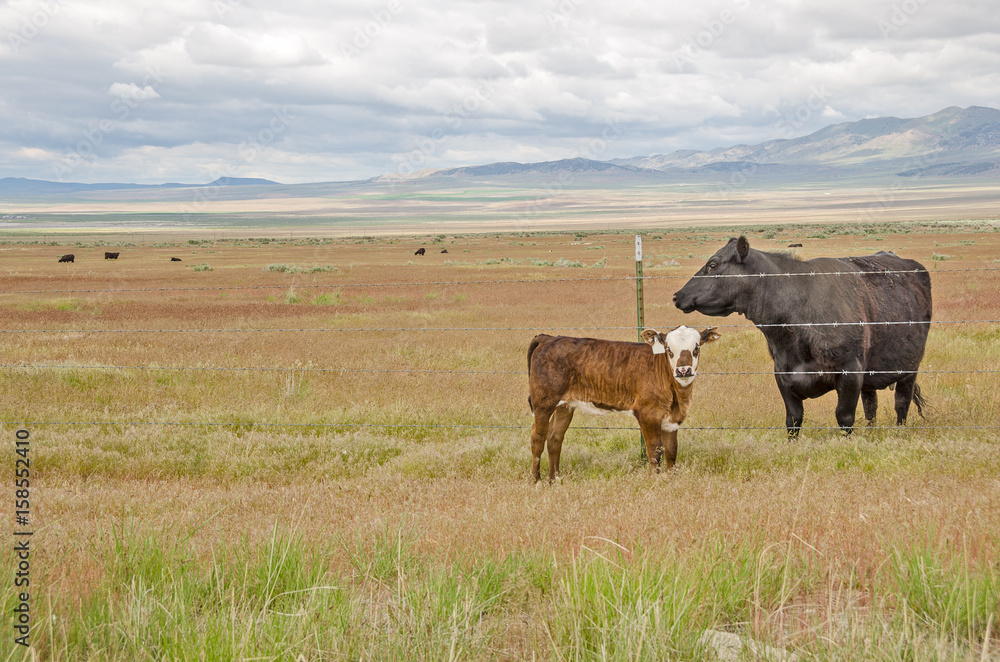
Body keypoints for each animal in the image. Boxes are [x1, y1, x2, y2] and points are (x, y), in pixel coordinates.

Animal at [527, 325, 721, 482]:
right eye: (668, 349)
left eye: (696, 347)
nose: (683, 370)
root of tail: (549, 338)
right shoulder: (648, 414)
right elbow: (655, 450)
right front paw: (656, 481)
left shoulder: (672, 421)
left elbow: (671, 452)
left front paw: (672, 480)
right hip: (543, 402)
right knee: (538, 438)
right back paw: (537, 481)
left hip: (565, 406)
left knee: (554, 438)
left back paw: (555, 479)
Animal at [672, 237, 931, 436]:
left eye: (713, 265)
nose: (677, 295)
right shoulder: (783, 374)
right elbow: (794, 419)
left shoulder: (850, 371)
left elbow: (844, 416)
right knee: (871, 406)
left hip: (910, 368)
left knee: (901, 404)